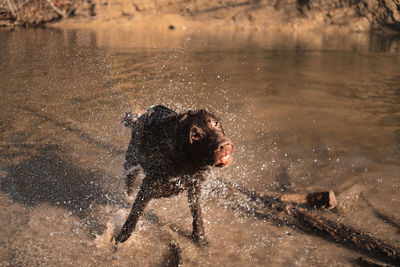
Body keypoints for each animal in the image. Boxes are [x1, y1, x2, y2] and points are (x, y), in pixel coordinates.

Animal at [113, 105, 234, 246]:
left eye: (215, 124)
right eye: (195, 136)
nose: (224, 145)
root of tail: (140, 117)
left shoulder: (194, 185)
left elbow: (197, 212)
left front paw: (200, 238)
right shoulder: (148, 186)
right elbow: (134, 214)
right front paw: (120, 238)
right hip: (131, 163)